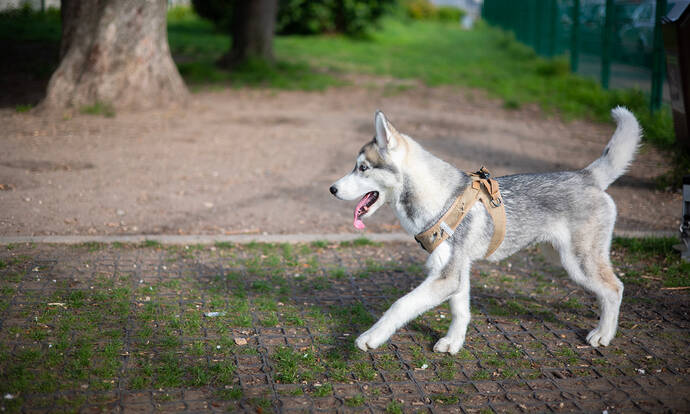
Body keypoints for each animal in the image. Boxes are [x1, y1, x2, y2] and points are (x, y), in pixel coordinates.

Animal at [328, 108, 640, 354]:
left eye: (363, 168)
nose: (332, 189)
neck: (441, 199)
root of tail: (586, 176)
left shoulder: (446, 276)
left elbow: (400, 305)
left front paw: (372, 336)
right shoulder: (457, 272)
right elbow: (460, 311)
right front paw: (454, 342)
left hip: (578, 262)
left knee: (615, 289)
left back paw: (604, 334)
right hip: (561, 257)